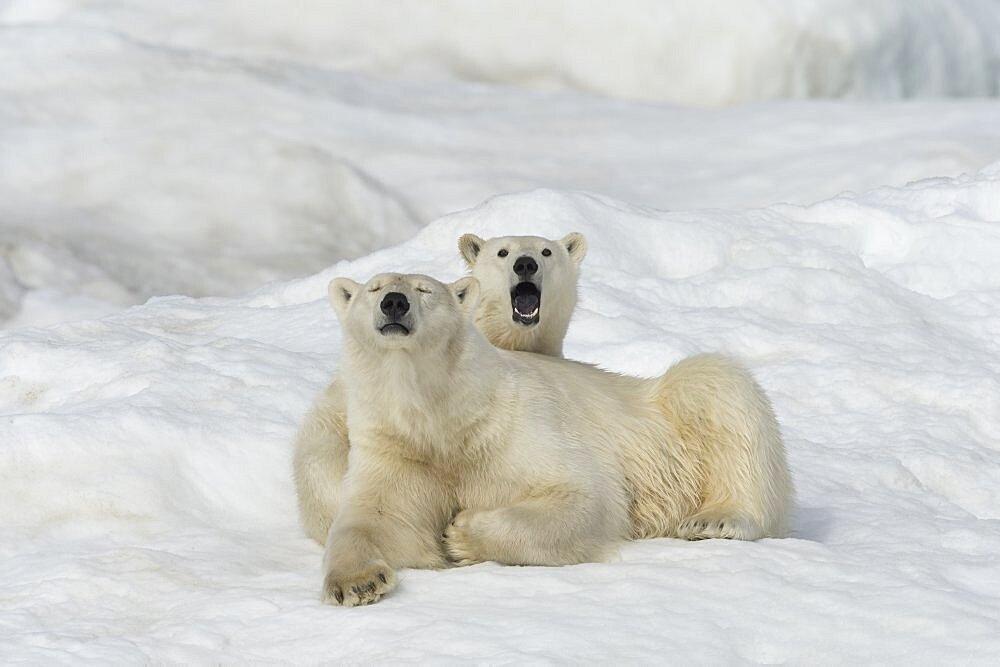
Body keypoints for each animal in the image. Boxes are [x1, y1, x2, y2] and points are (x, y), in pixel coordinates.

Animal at [316, 274, 792, 608]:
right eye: (374, 287)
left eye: (423, 289)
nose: (393, 302)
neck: (446, 422)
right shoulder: (398, 451)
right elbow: (375, 520)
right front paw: (356, 584)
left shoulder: (514, 425)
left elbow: (584, 495)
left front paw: (461, 534)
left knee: (716, 386)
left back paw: (714, 519)